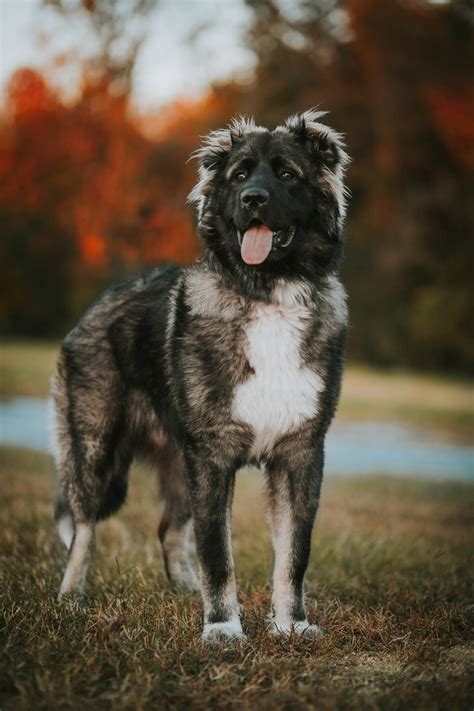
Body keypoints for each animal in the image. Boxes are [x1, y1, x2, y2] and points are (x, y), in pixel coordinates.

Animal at [51, 108, 350, 644]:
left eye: (287, 173)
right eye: (239, 175)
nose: (253, 199)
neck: (268, 294)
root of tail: (96, 305)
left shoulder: (299, 455)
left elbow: (293, 554)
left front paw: (291, 623)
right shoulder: (212, 458)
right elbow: (218, 553)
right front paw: (223, 628)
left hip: (177, 462)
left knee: (168, 529)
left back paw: (183, 588)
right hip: (96, 451)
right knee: (83, 528)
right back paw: (70, 597)